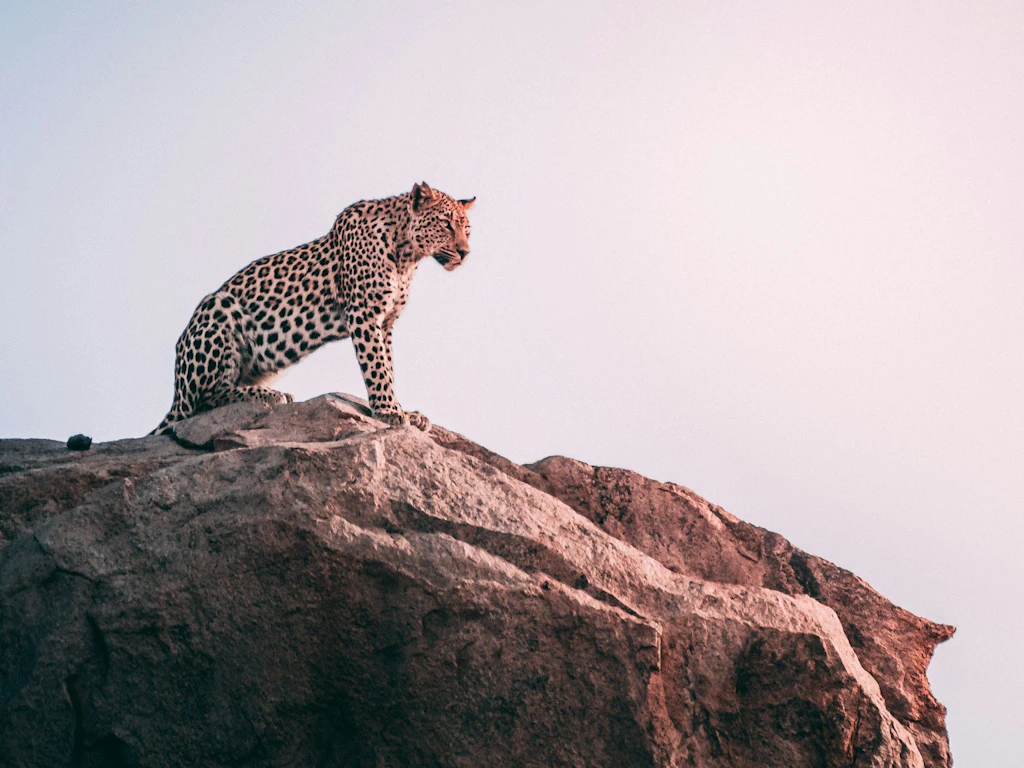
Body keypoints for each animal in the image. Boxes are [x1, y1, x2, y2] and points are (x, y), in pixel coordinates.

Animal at [150, 182, 474, 435]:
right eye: (446, 224)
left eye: (467, 230)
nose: (465, 252)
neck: (407, 255)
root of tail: (176, 392)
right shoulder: (364, 314)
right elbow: (377, 367)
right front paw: (389, 411)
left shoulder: (386, 323)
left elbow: (389, 366)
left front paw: (403, 410)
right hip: (218, 307)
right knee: (203, 401)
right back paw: (270, 395)